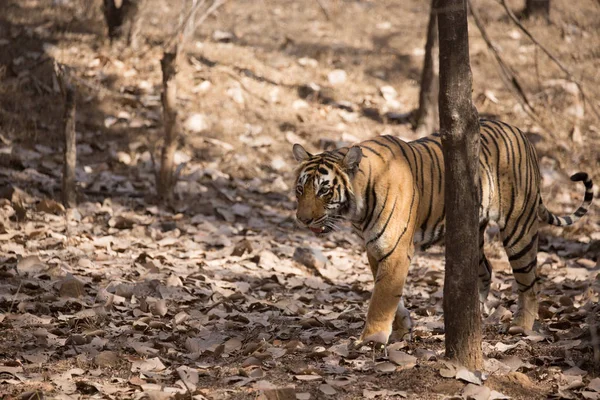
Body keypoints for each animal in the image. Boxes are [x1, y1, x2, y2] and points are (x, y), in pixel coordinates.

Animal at [292, 119, 592, 346]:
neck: (358, 210)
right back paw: (473, 317)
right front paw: (402, 328)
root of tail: (521, 133)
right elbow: (389, 293)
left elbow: (382, 297)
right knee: (486, 270)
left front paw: (371, 339)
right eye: (300, 189)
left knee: (530, 281)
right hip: (471, 233)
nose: (302, 219)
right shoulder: (375, 248)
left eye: (324, 190)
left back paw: (521, 325)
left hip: (519, 228)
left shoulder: (394, 249)